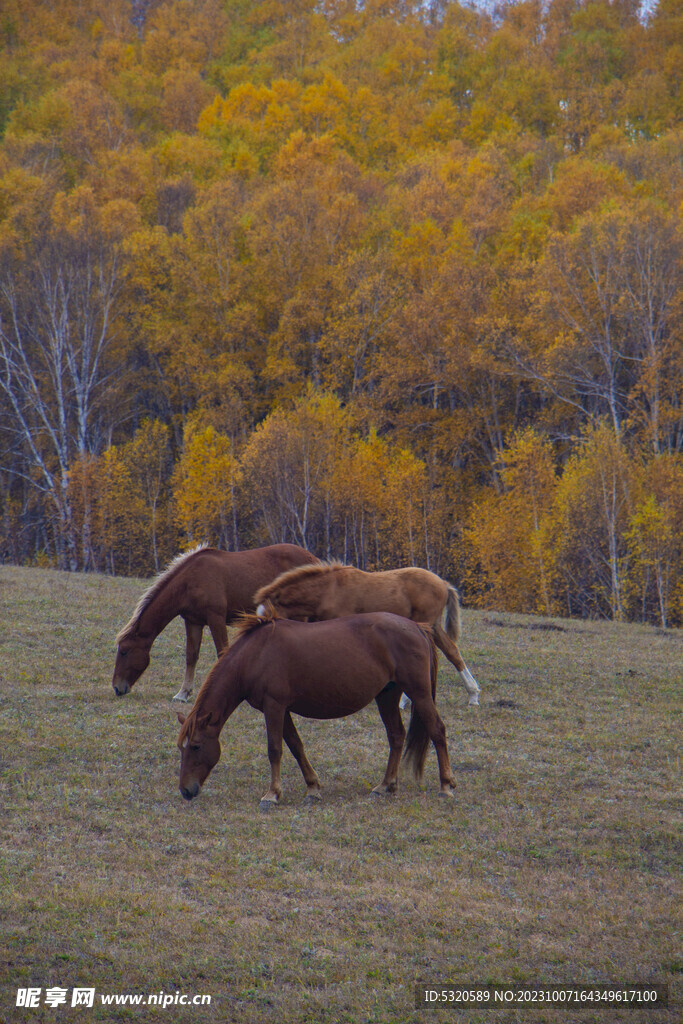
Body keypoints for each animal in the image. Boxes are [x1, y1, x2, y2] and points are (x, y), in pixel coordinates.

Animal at [112, 544, 317, 704]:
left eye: (124, 651)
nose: (116, 687)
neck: (190, 581)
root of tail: (312, 559)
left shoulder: (215, 617)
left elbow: (222, 652)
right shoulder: (193, 621)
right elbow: (191, 656)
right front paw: (183, 693)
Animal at [176, 610, 456, 811]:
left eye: (196, 746)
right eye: (182, 747)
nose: (186, 790)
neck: (256, 654)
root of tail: (417, 627)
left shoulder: (274, 707)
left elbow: (275, 750)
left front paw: (272, 794)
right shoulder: (281, 710)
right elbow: (296, 746)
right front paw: (312, 788)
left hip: (419, 694)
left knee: (437, 730)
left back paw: (446, 785)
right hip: (387, 695)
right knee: (396, 736)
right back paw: (385, 785)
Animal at [253, 565, 483, 708]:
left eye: (268, 618)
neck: (328, 590)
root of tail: (443, 583)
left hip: (425, 624)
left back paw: (405, 701)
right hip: (434, 625)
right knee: (452, 651)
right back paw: (473, 695)